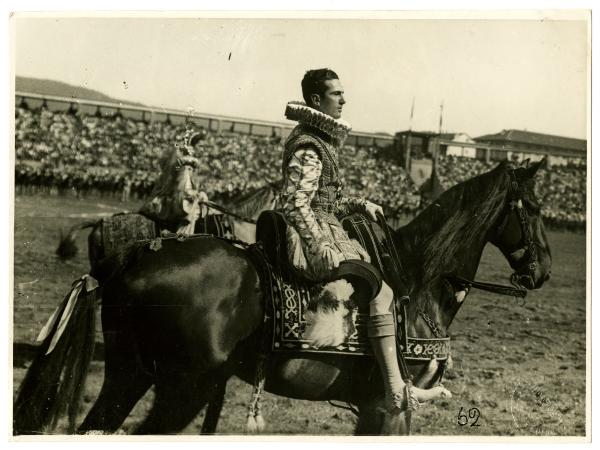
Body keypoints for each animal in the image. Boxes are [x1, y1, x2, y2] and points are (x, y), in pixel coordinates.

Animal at [14, 160, 552, 434]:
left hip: (131, 374)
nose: (542, 270)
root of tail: (134, 255)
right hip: (183, 387)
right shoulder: (388, 406)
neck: (418, 282)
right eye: (534, 206)